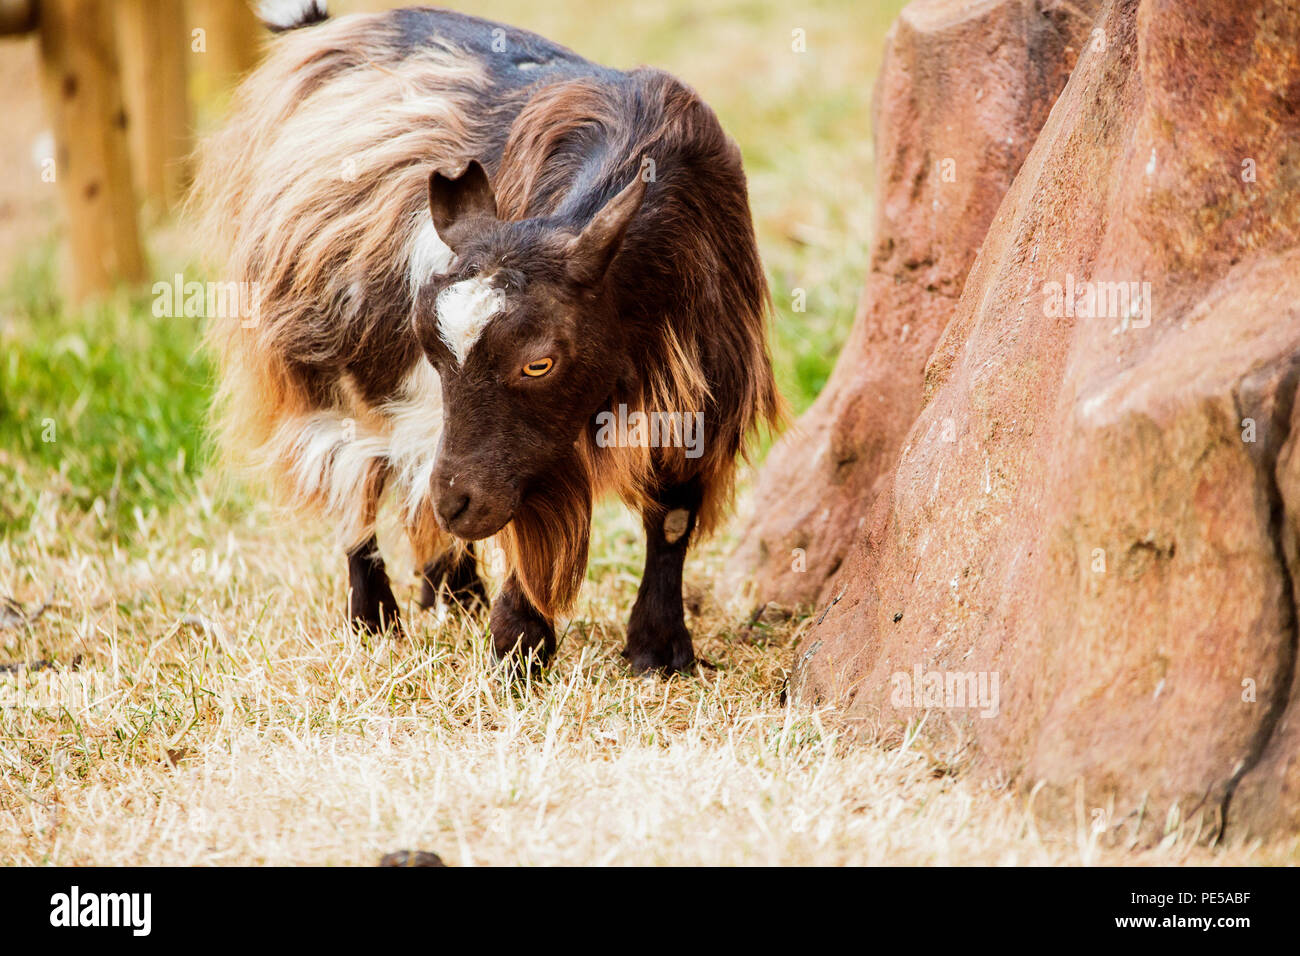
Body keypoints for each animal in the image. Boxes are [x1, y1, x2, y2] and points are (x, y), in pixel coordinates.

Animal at [192, 1, 774, 671]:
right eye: (434, 351)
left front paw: (659, 648)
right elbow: (524, 522)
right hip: (318, 361)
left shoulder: (706, 383)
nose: (458, 504)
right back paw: (375, 617)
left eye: (539, 363)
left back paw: (454, 590)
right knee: (352, 472)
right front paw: (520, 650)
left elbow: (673, 512)